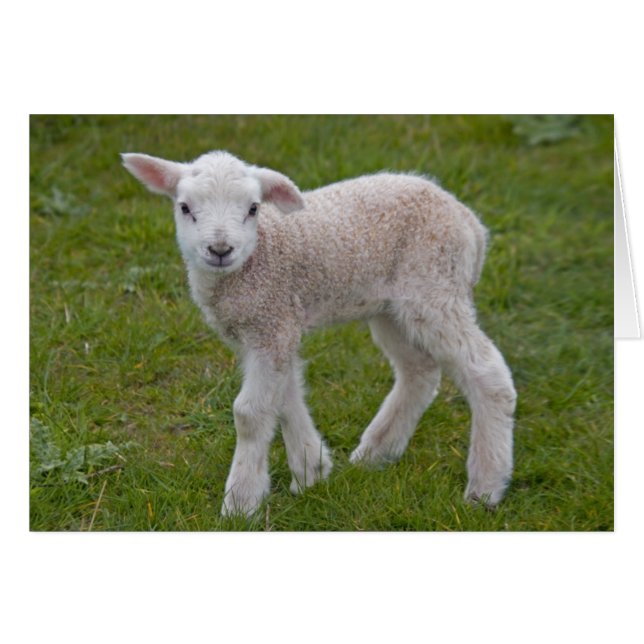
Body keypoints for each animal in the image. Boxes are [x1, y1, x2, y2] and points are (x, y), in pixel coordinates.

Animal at [122, 150, 517, 518]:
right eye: (185, 208)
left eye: (253, 208)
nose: (220, 250)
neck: (255, 259)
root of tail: (470, 222)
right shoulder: (271, 327)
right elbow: (285, 398)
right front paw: (312, 469)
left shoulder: (272, 323)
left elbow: (249, 413)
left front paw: (241, 502)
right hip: (391, 306)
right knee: (418, 371)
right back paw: (376, 453)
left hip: (434, 288)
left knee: (487, 372)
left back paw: (485, 486)